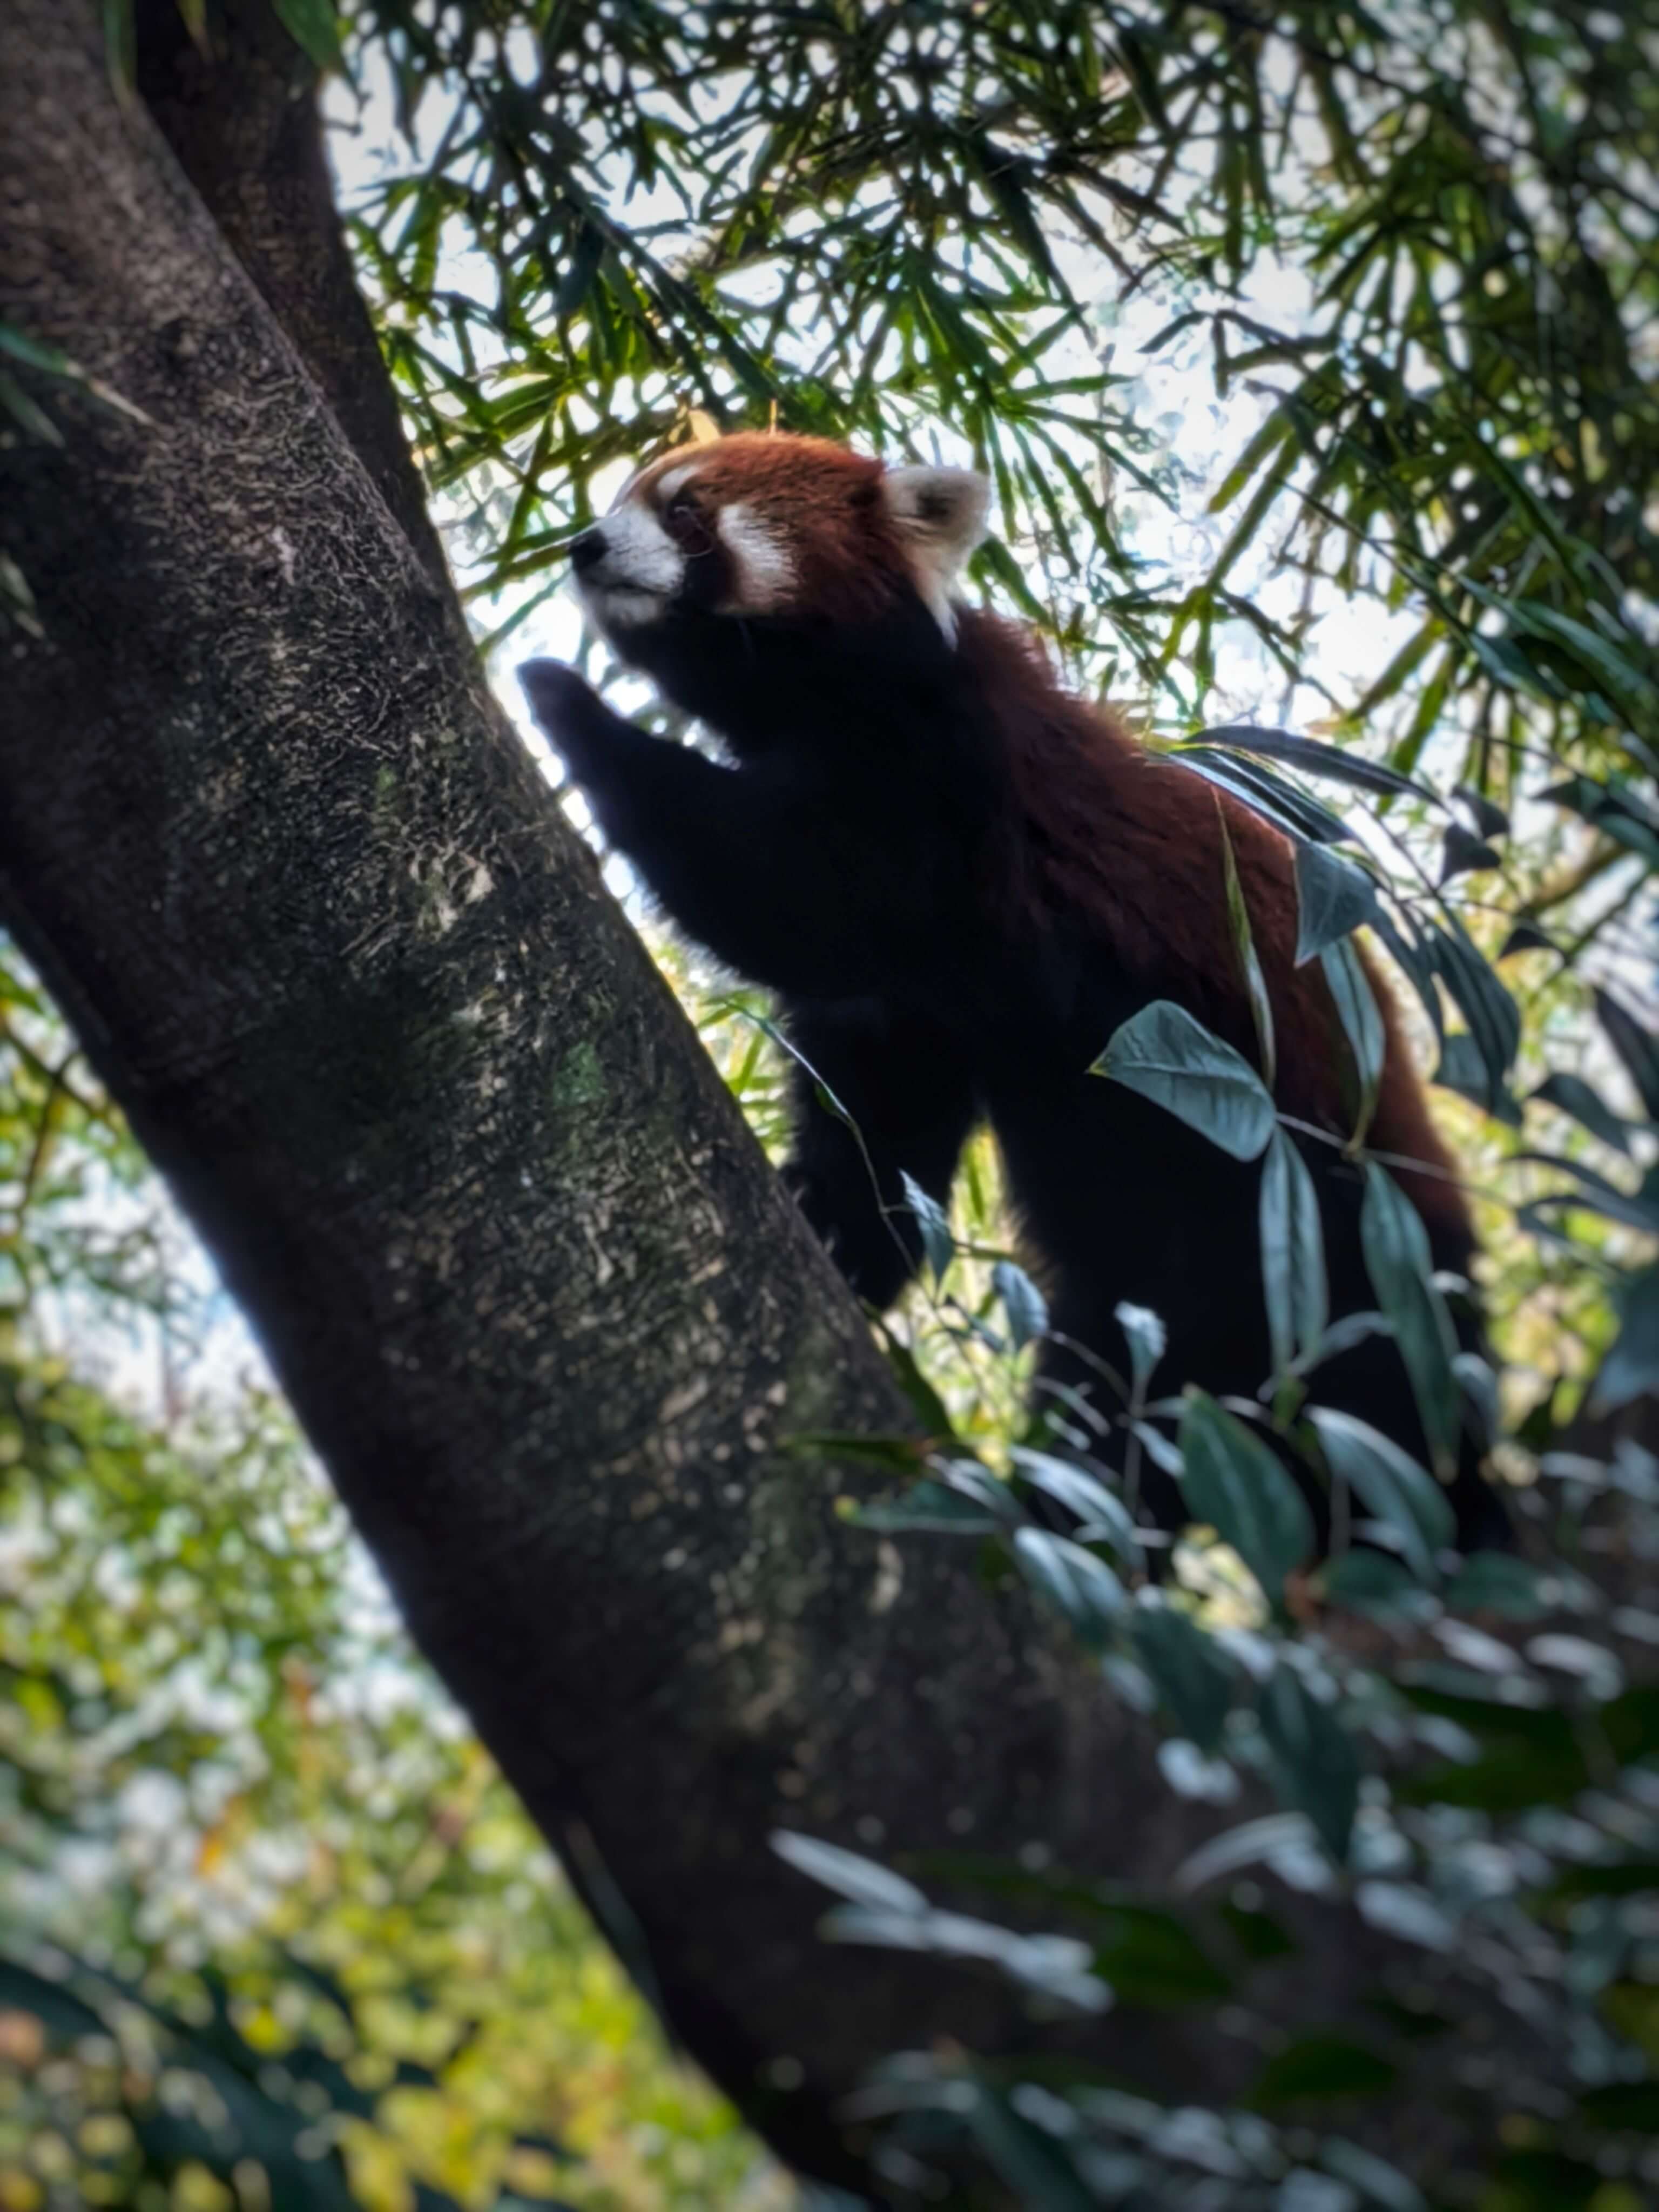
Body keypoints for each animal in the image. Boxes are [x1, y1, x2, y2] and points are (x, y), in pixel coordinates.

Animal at [520, 431, 1504, 1554]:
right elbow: (880, 1109)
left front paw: (562, 699)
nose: (586, 545)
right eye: (625, 498)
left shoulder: (953, 801)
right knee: (1129, 1399)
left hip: (1343, 1244)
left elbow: (796, 894)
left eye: (686, 513)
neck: (824, 697)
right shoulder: (923, 1003)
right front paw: (832, 1225)